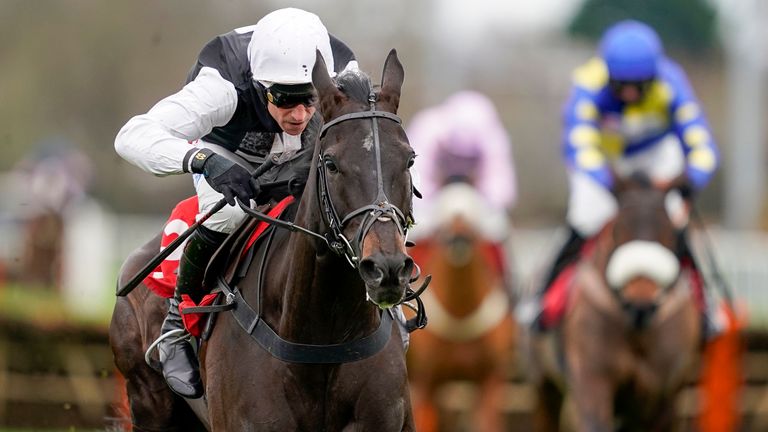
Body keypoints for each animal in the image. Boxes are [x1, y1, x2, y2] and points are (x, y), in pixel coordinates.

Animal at [404, 183, 512, 432]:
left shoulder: (491, 379)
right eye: (445, 221)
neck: (460, 310)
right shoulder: (425, 379)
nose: (459, 241)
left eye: (473, 219)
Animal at [528, 176, 704, 432]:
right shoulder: (591, 381)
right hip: (544, 386)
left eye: (671, 234)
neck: (637, 332)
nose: (640, 307)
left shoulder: (662, 395)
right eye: (616, 230)